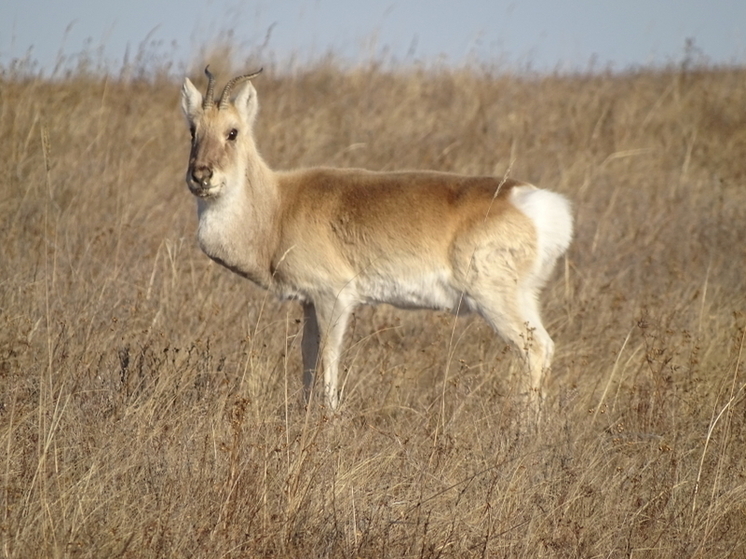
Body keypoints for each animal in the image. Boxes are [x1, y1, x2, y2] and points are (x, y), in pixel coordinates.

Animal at [179, 69, 568, 412]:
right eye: (193, 130)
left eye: (233, 131)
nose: (201, 175)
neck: (280, 204)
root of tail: (532, 200)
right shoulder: (308, 303)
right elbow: (307, 359)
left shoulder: (334, 299)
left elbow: (329, 360)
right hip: (523, 299)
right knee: (547, 347)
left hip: (495, 301)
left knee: (534, 350)